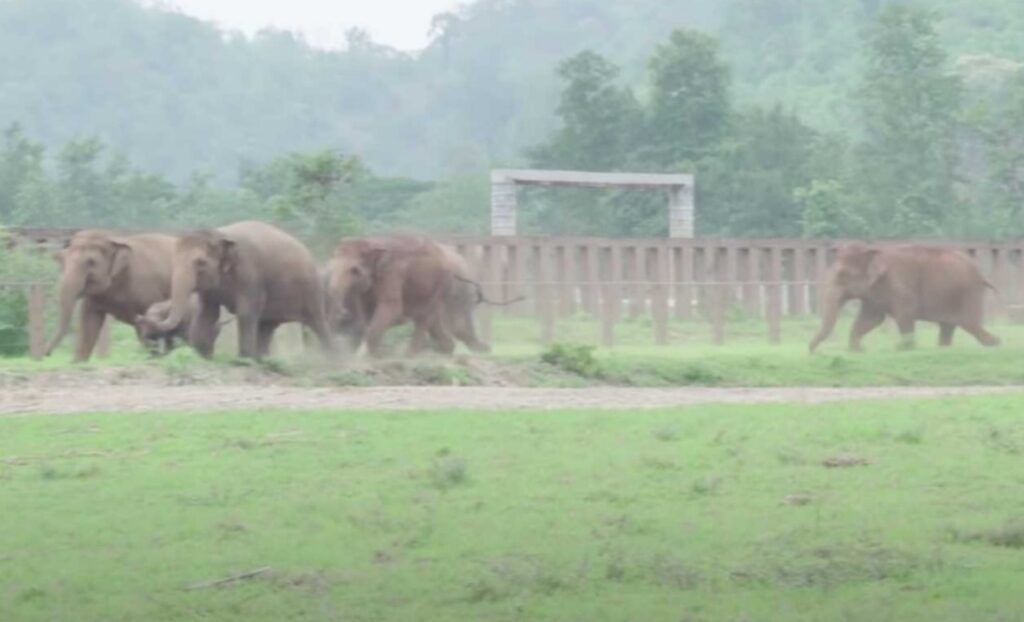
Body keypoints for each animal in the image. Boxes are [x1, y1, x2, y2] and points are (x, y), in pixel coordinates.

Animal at [47, 231, 175, 362]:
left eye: (91, 262)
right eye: (63, 259)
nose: (47, 355)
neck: (113, 238)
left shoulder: (147, 288)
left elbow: (147, 325)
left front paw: (151, 358)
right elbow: (88, 322)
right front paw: (78, 362)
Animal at [149, 222, 333, 360]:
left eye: (200, 263)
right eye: (173, 259)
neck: (220, 234)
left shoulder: (251, 275)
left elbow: (246, 312)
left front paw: (242, 361)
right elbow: (206, 314)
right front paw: (201, 357)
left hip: (312, 291)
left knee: (318, 325)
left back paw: (333, 361)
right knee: (267, 326)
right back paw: (262, 360)